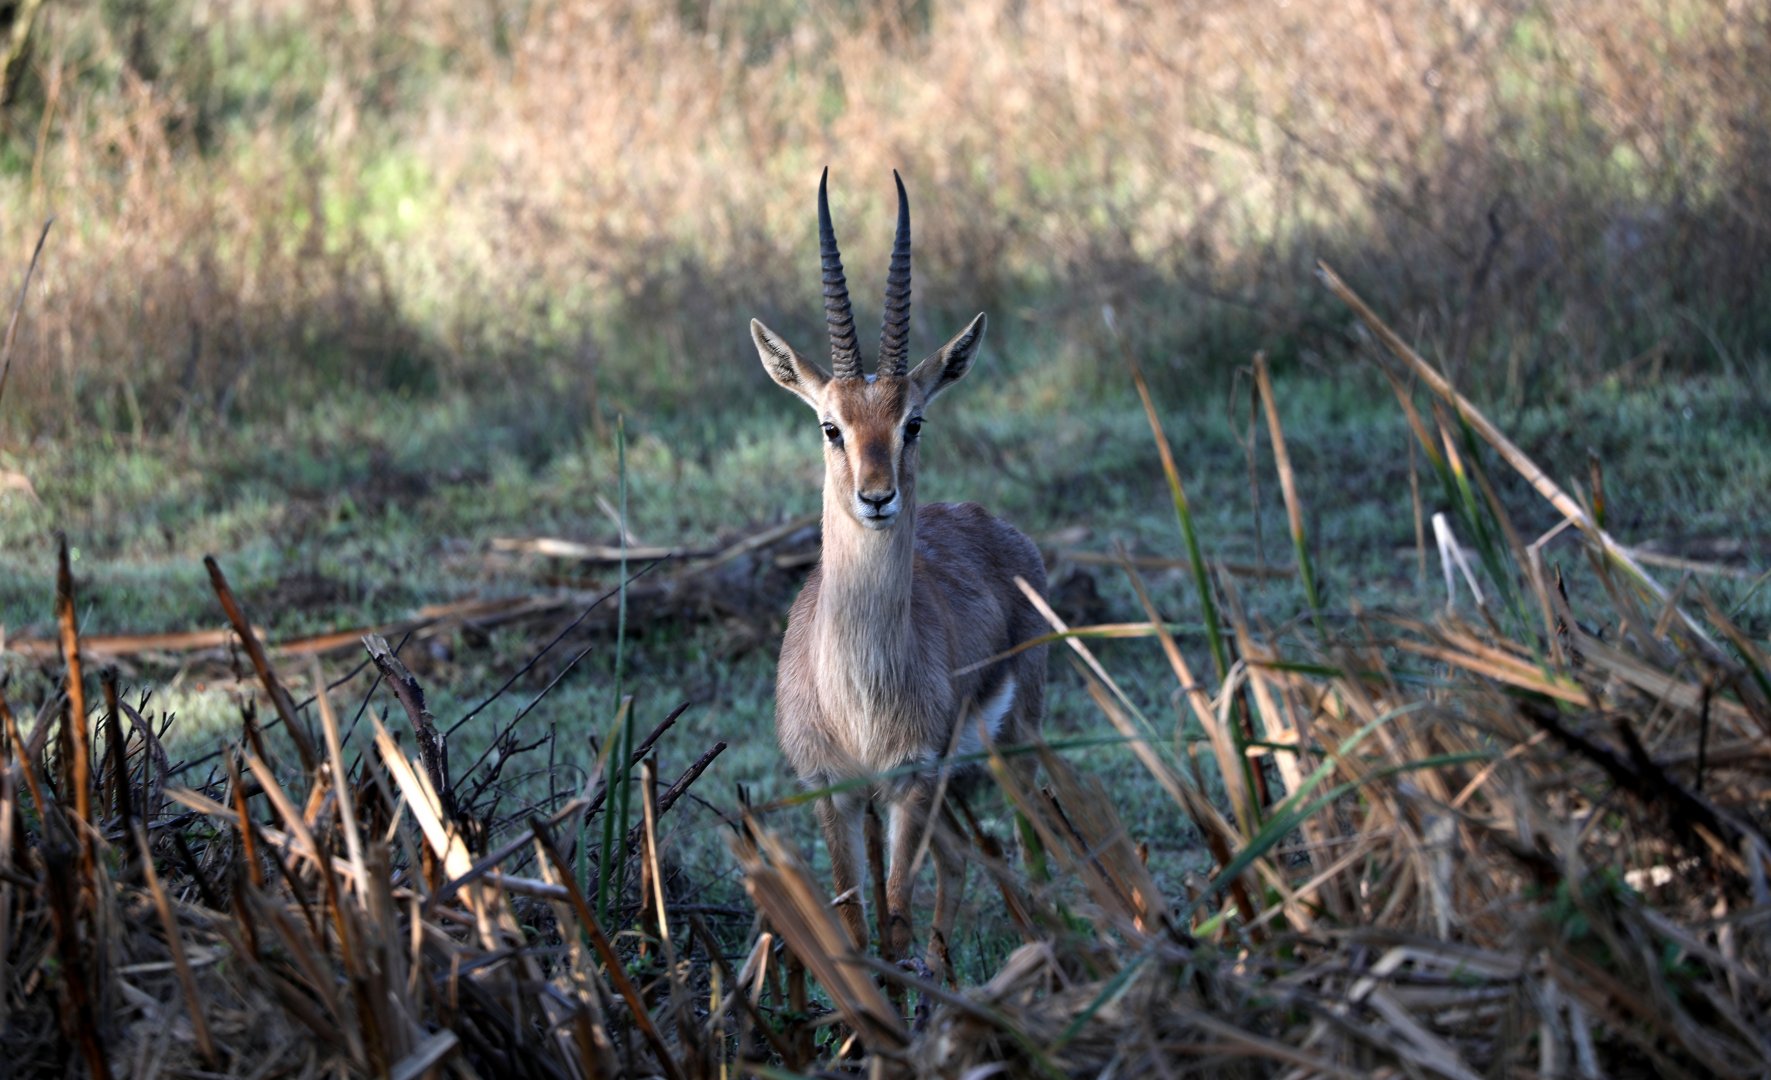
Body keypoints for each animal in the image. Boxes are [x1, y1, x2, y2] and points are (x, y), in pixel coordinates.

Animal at [749, 170, 1049, 969]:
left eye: (913, 421)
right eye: (830, 426)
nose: (876, 497)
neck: (857, 695)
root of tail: (993, 523)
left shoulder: (910, 780)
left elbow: (895, 919)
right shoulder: (834, 790)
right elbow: (858, 928)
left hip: (1016, 745)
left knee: (1031, 850)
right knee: (963, 860)